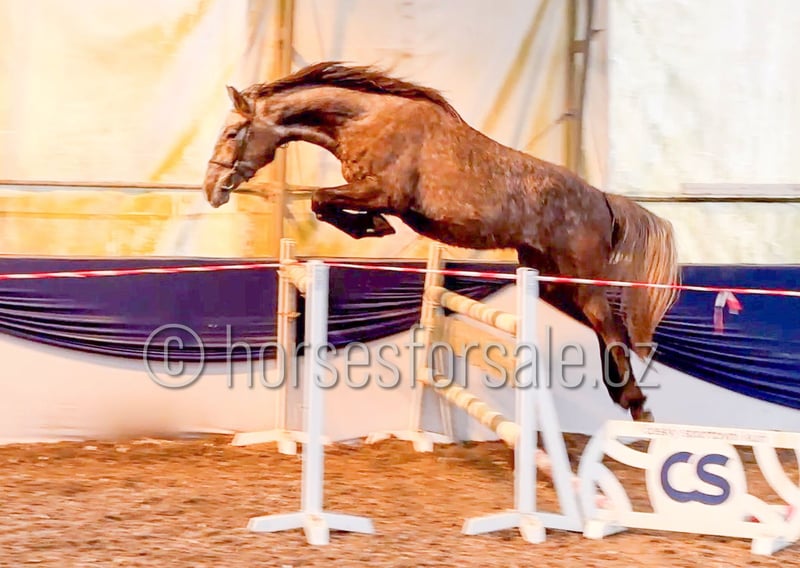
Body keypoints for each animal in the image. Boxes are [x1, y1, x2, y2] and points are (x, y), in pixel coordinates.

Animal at [201, 61, 680, 422]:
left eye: (232, 133)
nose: (212, 190)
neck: (365, 119)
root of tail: (602, 199)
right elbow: (326, 203)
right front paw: (373, 227)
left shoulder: (383, 192)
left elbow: (323, 199)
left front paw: (372, 227)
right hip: (552, 283)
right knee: (608, 328)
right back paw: (625, 397)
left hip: (578, 279)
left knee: (611, 326)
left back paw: (637, 406)